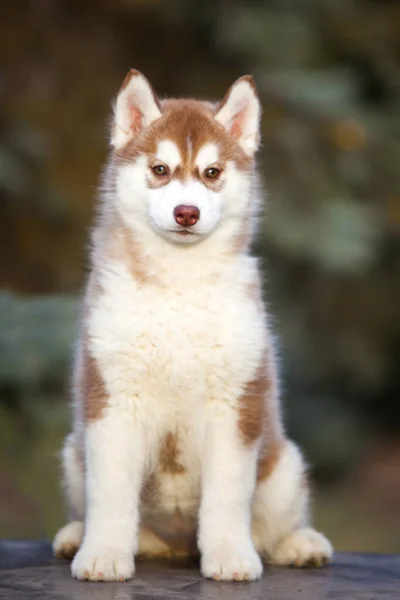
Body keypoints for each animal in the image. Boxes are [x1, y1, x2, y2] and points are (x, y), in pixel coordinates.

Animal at [53, 71, 334, 580]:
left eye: (212, 173)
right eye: (160, 169)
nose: (187, 212)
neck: (178, 281)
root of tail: (175, 545)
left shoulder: (234, 407)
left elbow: (227, 497)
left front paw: (230, 557)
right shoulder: (112, 401)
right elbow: (110, 494)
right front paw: (102, 554)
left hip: (284, 466)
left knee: (274, 526)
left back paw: (300, 544)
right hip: (73, 452)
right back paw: (74, 536)